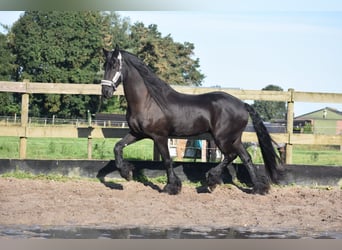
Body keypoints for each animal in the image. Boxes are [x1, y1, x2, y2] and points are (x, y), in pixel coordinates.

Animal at [101, 45, 284, 195]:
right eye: (104, 66)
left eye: (115, 65)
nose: (105, 92)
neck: (148, 101)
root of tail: (243, 104)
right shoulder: (137, 133)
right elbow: (118, 147)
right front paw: (126, 173)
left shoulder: (159, 136)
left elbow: (167, 160)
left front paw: (171, 187)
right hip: (234, 138)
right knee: (246, 158)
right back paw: (258, 188)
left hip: (222, 138)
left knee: (230, 155)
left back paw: (211, 180)